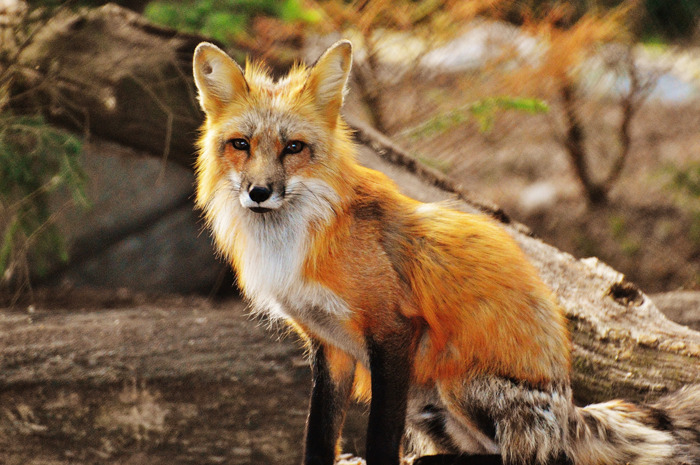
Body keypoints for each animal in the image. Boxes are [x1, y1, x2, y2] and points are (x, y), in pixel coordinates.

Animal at [192, 39, 700, 465]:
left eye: (294, 147)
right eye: (240, 145)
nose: (259, 193)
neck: (298, 237)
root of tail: (573, 410)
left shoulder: (394, 332)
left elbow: (380, 438)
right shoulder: (328, 346)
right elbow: (318, 436)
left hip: (455, 382)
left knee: (528, 458)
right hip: (426, 404)